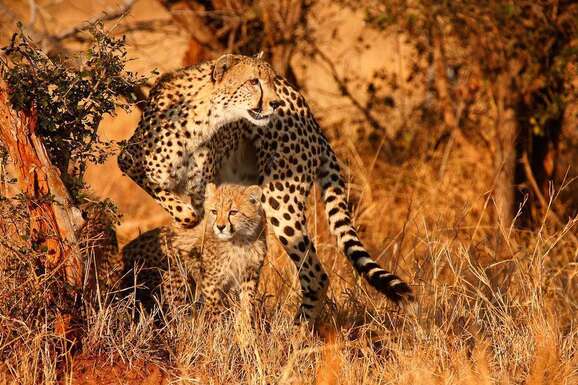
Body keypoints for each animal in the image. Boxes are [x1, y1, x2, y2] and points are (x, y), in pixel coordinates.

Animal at [118, 52, 414, 320]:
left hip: (280, 198)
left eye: (270, 80)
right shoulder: (128, 161)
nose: (275, 102)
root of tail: (312, 118)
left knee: (315, 275)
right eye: (253, 81)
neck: (201, 117)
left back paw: (296, 334)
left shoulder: (203, 192)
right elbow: (182, 213)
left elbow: (194, 221)